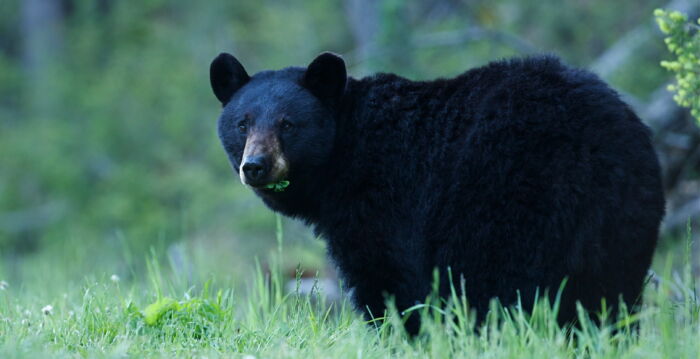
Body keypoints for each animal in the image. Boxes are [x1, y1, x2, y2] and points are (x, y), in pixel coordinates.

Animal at [208, 51, 660, 334]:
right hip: (623, 224)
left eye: (288, 124)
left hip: (506, 202)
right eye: (243, 123)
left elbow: (388, 281)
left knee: (496, 284)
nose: (256, 166)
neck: (346, 153)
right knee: (607, 297)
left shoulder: (384, 204)